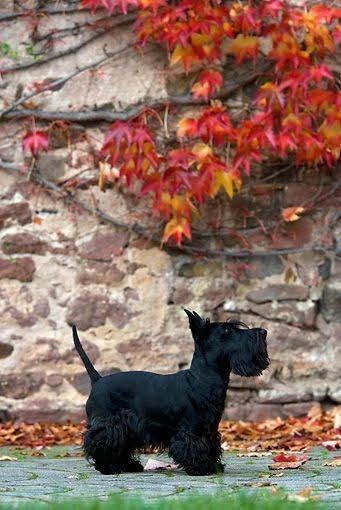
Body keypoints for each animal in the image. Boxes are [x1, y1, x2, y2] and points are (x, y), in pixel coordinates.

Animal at [72, 308, 268, 476]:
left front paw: (213, 465)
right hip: (109, 424)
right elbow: (192, 446)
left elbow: (211, 446)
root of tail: (97, 380)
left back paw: (129, 465)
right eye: (226, 331)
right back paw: (108, 467)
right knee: (99, 442)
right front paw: (201, 468)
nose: (264, 332)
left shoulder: (210, 429)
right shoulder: (190, 429)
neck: (201, 378)